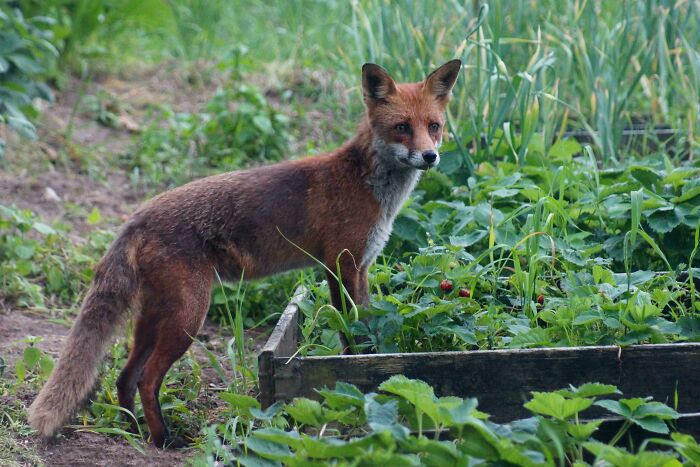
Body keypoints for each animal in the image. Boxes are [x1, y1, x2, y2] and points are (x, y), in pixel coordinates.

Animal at [28, 59, 461, 448]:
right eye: (402, 127)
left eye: (434, 126)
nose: (430, 156)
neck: (369, 185)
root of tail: (138, 216)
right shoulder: (342, 264)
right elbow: (350, 332)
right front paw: (356, 373)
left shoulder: (360, 267)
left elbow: (364, 327)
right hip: (189, 316)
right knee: (148, 378)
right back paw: (164, 439)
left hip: (154, 315)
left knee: (125, 377)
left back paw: (134, 431)